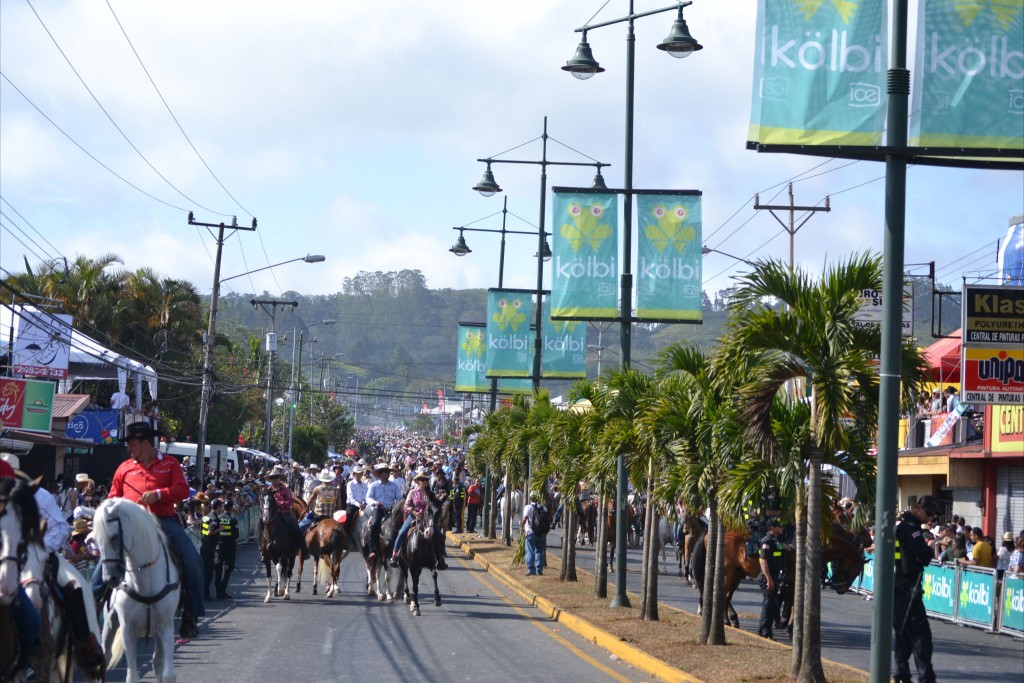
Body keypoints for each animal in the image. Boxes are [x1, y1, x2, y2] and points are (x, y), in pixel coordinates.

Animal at [94, 497, 180, 683]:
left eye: (114, 536)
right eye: (95, 541)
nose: (109, 579)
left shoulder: (166, 627)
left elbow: (168, 674)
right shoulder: (128, 630)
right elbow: (132, 677)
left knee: (157, 662)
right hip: (109, 624)